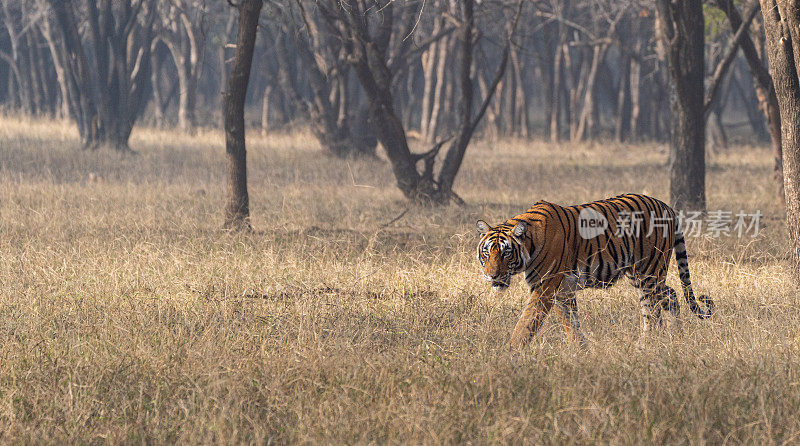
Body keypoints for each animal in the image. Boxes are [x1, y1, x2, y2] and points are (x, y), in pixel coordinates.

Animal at [476, 193, 712, 348]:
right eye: (486, 253)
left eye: (506, 253)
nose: (492, 275)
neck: (530, 243)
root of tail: (667, 206)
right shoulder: (563, 291)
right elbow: (571, 324)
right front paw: (581, 351)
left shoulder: (545, 287)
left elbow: (526, 322)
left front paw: (510, 353)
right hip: (639, 274)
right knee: (670, 295)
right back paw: (675, 338)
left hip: (649, 272)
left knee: (653, 310)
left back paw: (647, 344)